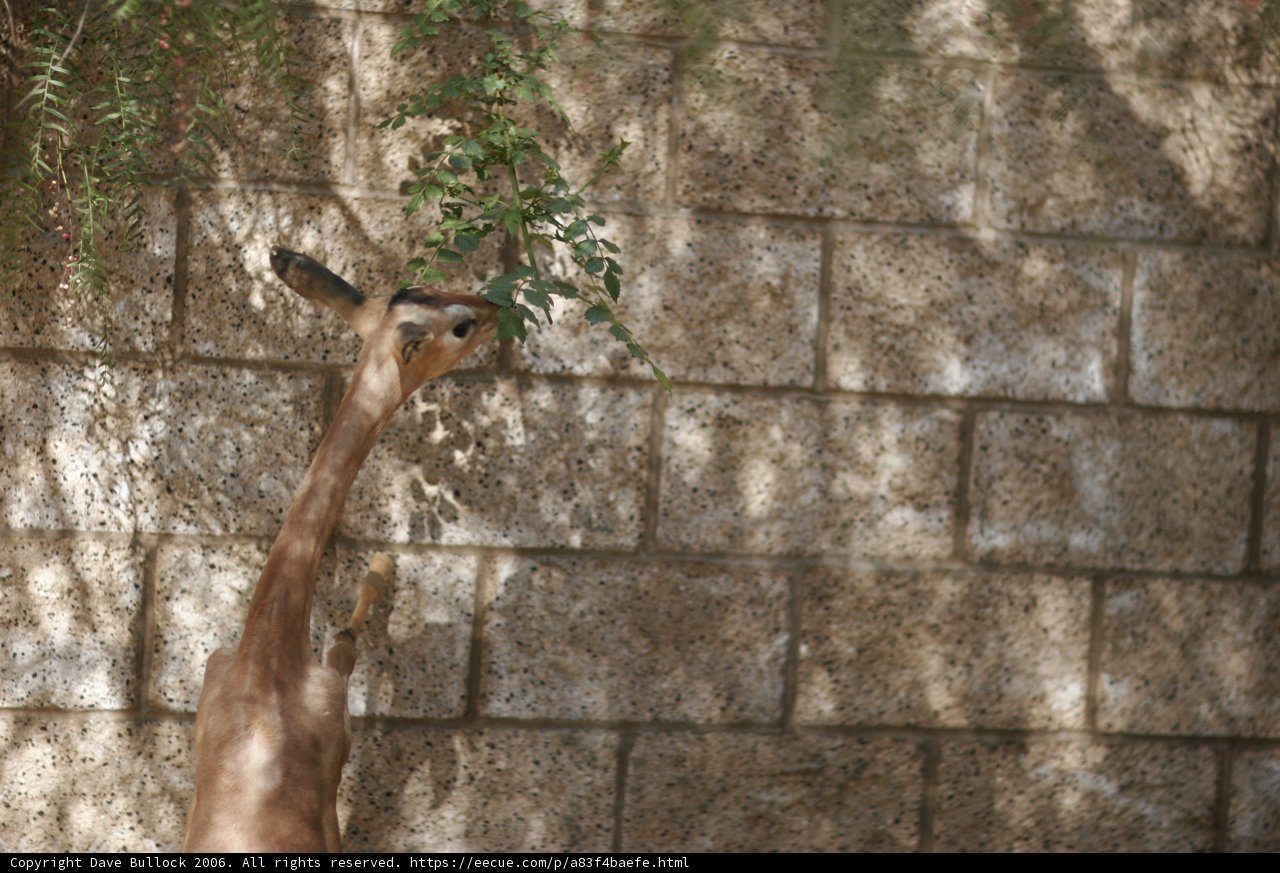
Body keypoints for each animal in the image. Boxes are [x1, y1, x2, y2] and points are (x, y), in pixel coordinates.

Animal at [180, 247, 498, 851]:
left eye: (423, 285)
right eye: (460, 327)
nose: (495, 305)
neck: (264, 666)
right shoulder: (336, 743)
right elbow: (346, 643)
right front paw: (382, 568)